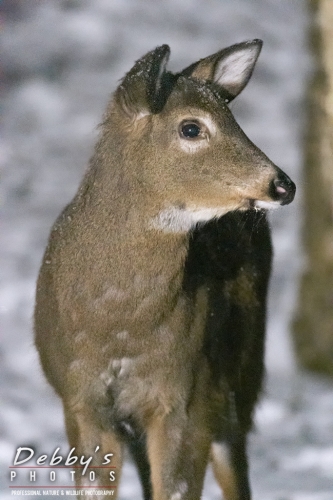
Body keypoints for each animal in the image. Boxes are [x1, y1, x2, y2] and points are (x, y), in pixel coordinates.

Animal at [34, 40, 294, 500]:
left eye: (234, 118)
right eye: (191, 128)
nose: (283, 185)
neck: (118, 324)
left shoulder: (185, 397)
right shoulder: (79, 399)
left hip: (243, 365)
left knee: (235, 461)